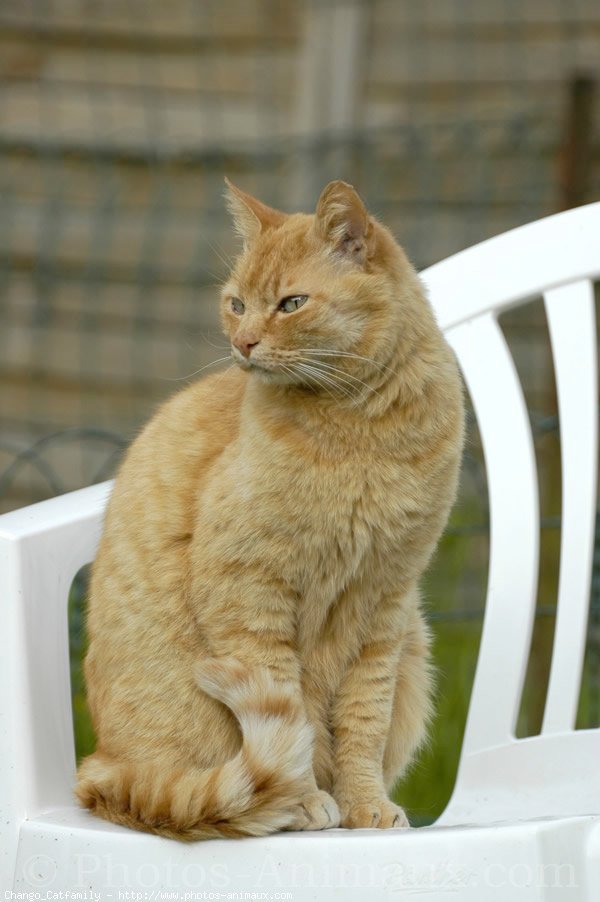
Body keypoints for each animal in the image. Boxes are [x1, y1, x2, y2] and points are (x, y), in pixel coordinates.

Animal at [76, 180, 464, 844]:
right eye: (236, 304)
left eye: (291, 304)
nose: (243, 343)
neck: (361, 430)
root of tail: (101, 767)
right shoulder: (250, 588)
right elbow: (292, 717)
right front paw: (304, 803)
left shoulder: (386, 601)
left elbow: (364, 721)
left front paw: (365, 804)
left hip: (416, 648)